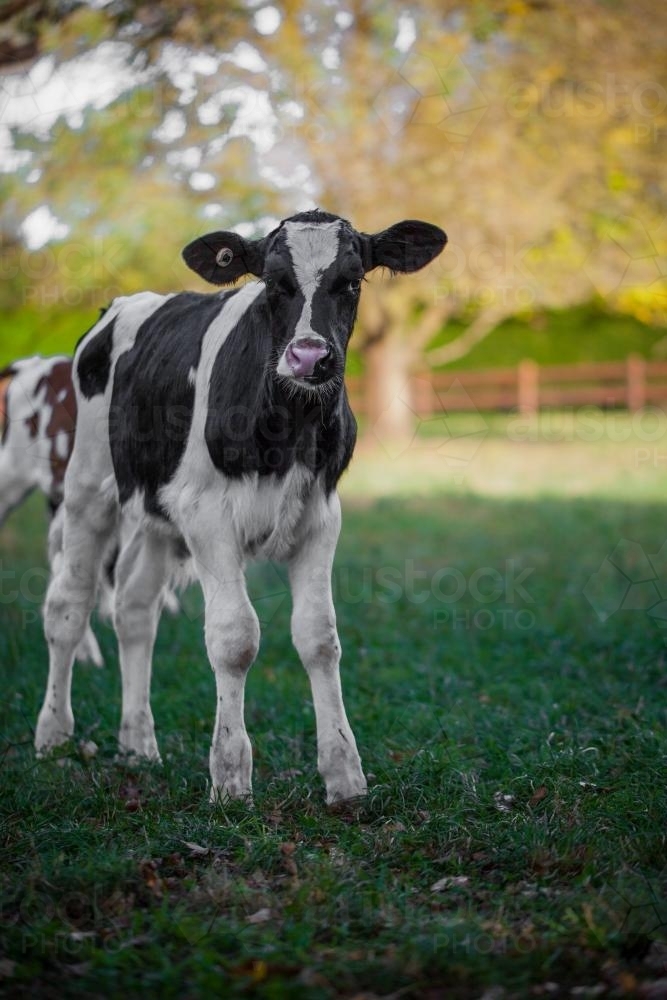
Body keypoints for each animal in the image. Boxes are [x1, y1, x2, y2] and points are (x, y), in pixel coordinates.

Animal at [35, 209, 447, 805]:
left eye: (351, 281)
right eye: (274, 282)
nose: (309, 356)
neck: (289, 425)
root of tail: (117, 307)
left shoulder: (321, 517)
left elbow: (319, 637)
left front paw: (344, 775)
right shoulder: (207, 516)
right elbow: (234, 638)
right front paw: (230, 776)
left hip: (158, 514)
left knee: (135, 608)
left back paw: (138, 742)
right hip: (87, 487)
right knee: (68, 605)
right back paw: (53, 735)